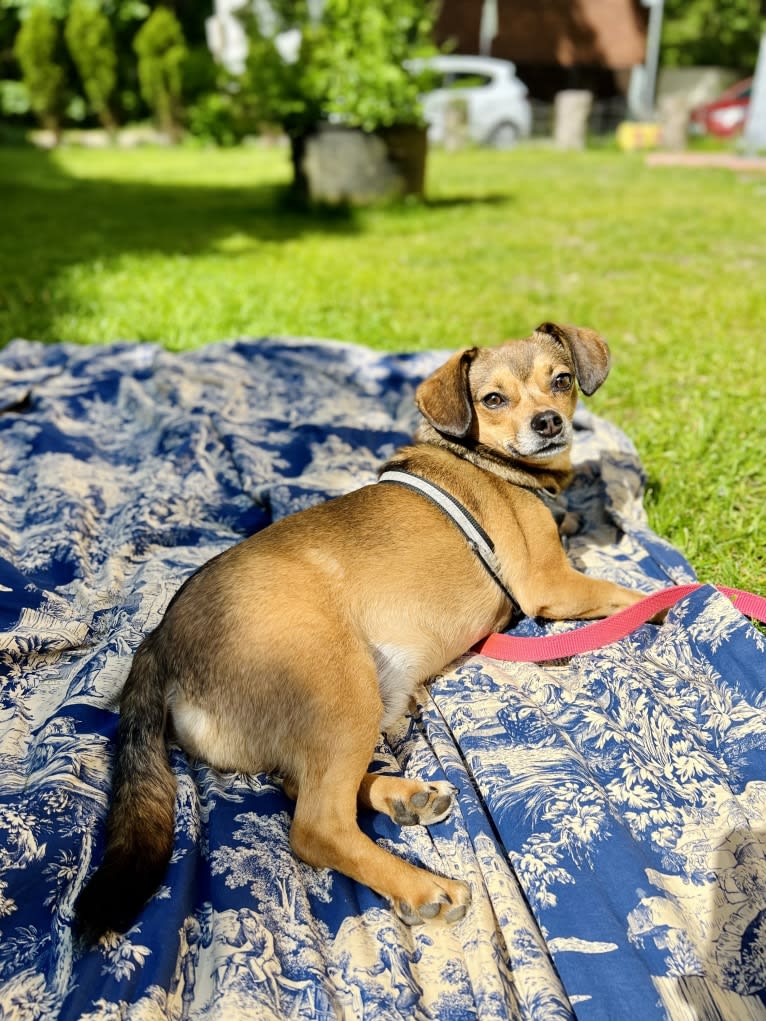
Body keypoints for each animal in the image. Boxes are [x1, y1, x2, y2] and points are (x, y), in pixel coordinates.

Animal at [76, 322, 653, 935]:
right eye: (493, 399)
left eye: (561, 380)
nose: (548, 423)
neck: (486, 462)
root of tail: (160, 641)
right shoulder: (550, 585)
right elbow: (629, 596)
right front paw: (674, 603)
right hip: (343, 691)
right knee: (315, 827)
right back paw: (422, 885)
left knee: (302, 786)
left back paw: (404, 797)